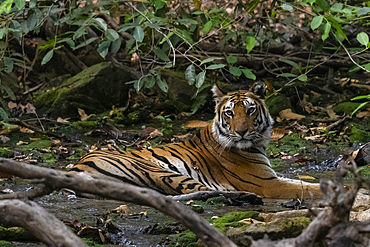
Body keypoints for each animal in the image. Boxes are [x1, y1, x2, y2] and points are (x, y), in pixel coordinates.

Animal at [71, 83, 322, 199]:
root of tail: (76, 166)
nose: (241, 132)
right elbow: (305, 188)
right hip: (158, 171)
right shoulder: (266, 183)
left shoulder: (272, 176)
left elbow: (302, 182)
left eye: (250, 110)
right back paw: (244, 197)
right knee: (200, 191)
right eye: (230, 113)